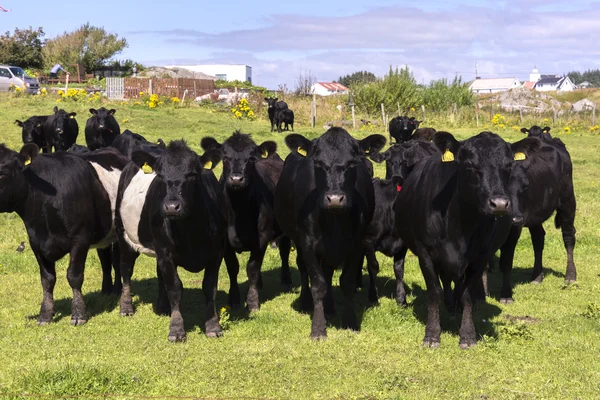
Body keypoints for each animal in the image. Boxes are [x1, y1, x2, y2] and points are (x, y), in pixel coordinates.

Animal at [116, 140, 229, 340]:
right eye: (160, 175)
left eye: (192, 174)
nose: (171, 207)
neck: (192, 232)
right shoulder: (166, 252)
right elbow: (175, 288)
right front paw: (176, 329)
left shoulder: (217, 252)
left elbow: (209, 287)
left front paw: (213, 326)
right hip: (124, 234)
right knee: (126, 269)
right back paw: (126, 306)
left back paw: (163, 307)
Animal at [200, 133, 292, 310]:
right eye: (225, 158)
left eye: (251, 159)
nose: (236, 179)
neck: (239, 210)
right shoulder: (224, 240)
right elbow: (233, 267)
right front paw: (234, 299)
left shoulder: (262, 236)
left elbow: (252, 268)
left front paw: (253, 301)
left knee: (284, 251)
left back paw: (286, 280)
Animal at [360, 141, 440, 304]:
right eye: (388, 161)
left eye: (404, 162)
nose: (397, 177)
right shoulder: (368, 241)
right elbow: (373, 266)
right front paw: (373, 296)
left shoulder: (402, 243)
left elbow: (399, 269)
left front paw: (401, 298)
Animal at [396, 131, 516, 346]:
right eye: (470, 166)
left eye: (509, 166)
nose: (500, 204)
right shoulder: (425, 253)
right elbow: (434, 291)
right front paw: (432, 334)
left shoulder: (481, 255)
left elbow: (467, 294)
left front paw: (467, 335)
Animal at [492, 135, 576, 304]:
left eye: (525, 186)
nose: (516, 218)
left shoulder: (514, 229)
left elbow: (506, 260)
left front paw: (506, 295)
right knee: (538, 239)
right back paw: (537, 275)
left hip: (567, 201)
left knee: (569, 236)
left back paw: (570, 275)